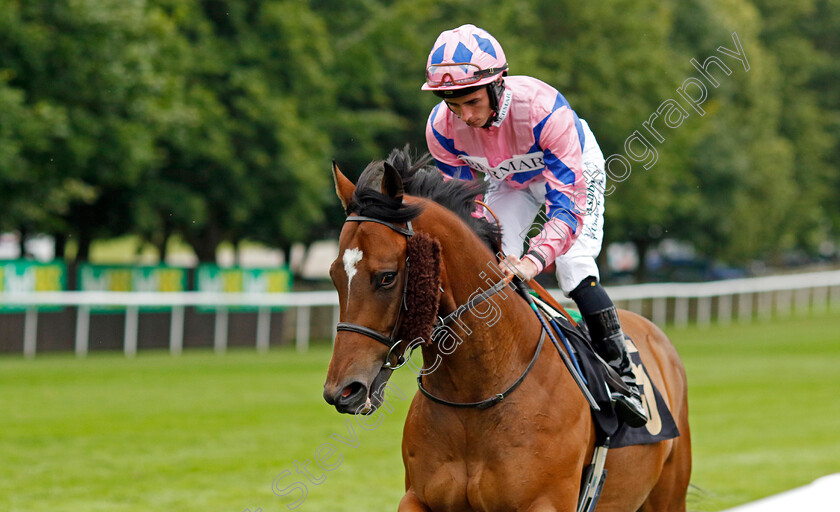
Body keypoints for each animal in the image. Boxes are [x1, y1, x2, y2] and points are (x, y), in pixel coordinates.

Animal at [322, 149, 688, 512]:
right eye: (334, 274)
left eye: (387, 276)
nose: (343, 390)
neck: (476, 396)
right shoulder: (417, 497)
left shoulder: (547, 503)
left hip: (670, 493)